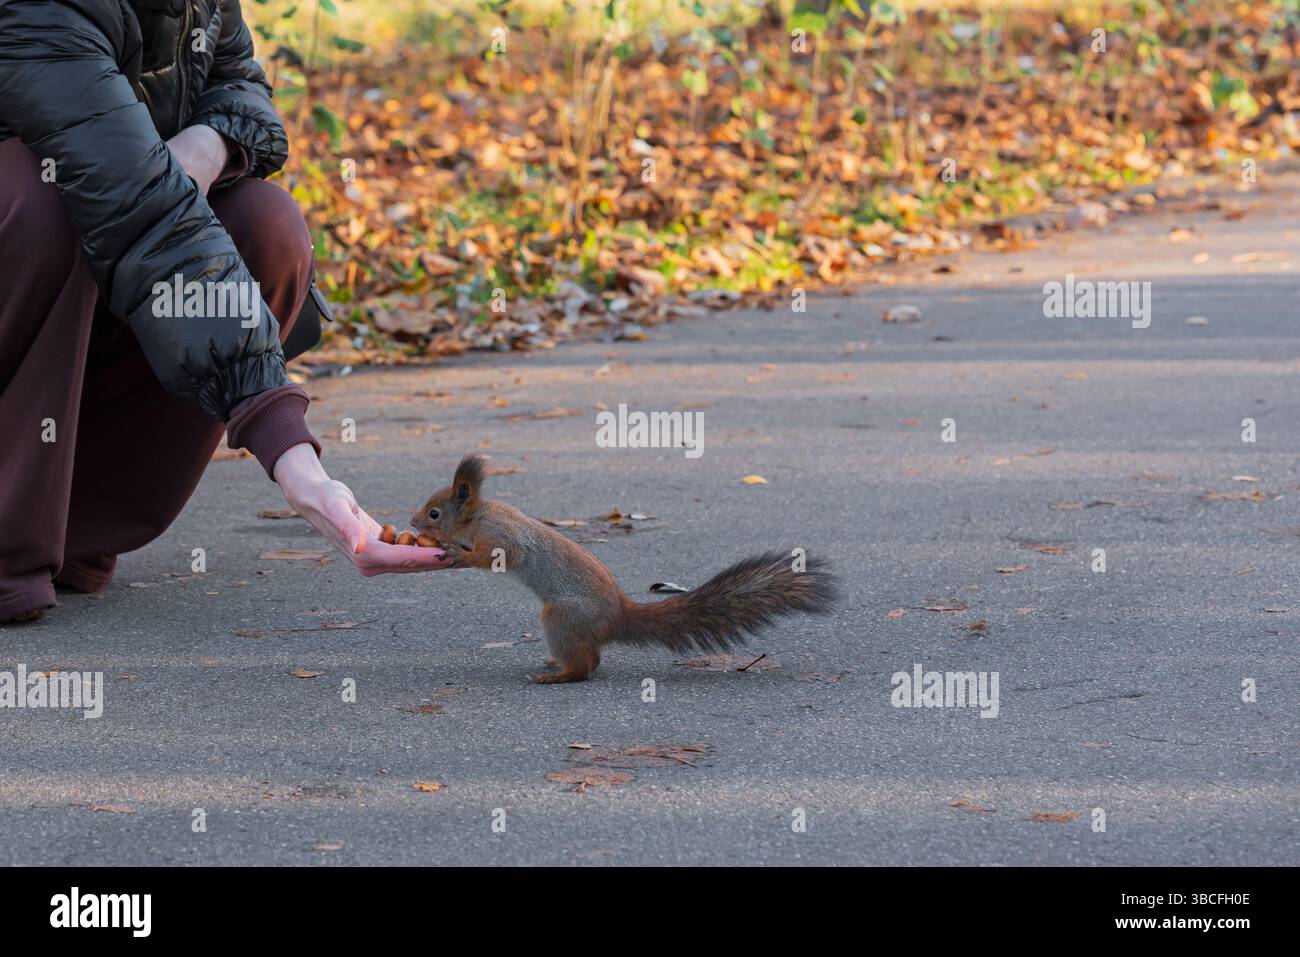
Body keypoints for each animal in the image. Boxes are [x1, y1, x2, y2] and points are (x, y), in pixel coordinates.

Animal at [411, 455, 837, 683]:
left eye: (434, 513)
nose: (413, 522)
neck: (478, 517)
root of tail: (617, 614)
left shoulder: (501, 537)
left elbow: (496, 556)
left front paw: (457, 553)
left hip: (562, 616)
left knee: (586, 668)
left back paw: (558, 675)